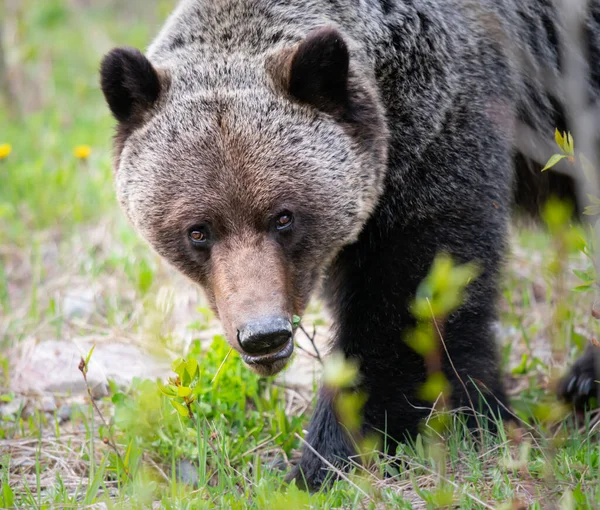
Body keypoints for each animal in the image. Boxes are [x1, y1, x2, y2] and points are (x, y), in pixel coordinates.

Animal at [101, 0, 596, 490]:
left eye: (284, 216)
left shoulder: (447, 130)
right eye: (198, 230)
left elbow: (409, 303)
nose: (263, 336)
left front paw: (323, 460)